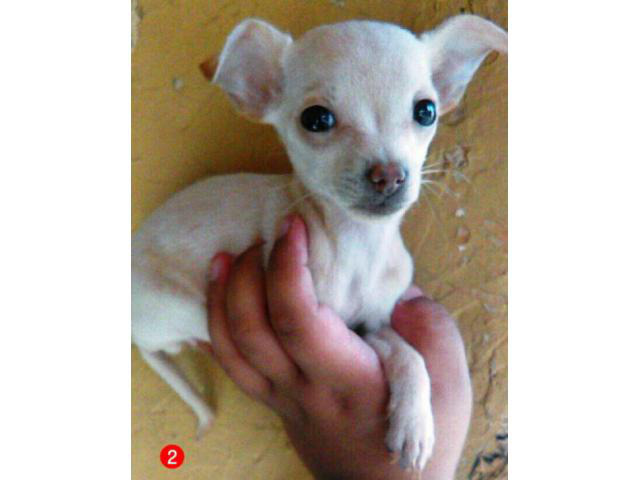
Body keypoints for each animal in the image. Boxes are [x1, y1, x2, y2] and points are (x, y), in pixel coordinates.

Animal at [132, 15, 508, 468]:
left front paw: (415, 422)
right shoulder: (347, 326)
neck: (358, 245)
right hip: (182, 307)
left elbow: (407, 351)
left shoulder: (375, 321)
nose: (389, 175)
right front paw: (414, 422)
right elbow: (402, 349)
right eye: (316, 119)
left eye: (426, 111)